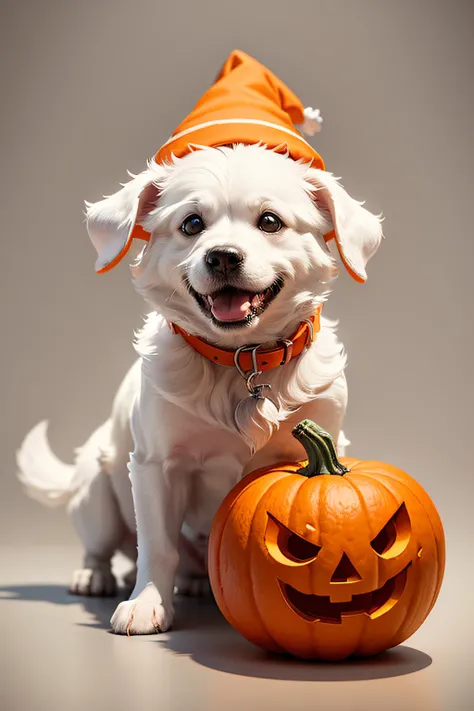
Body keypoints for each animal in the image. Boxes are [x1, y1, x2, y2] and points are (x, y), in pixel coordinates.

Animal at [16, 143, 384, 636]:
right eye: (192, 224)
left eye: (270, 221)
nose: (223, 256)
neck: (240, 358)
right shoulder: (155, 465)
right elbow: (158, 546)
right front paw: (147, 604)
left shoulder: (320, 443)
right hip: (96, 493)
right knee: (103, 546)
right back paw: (97, 576)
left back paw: (194, 582)